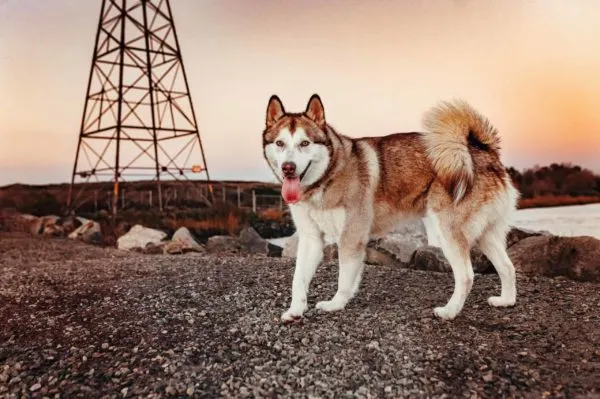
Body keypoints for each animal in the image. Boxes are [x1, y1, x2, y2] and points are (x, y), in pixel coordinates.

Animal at [262, 95, 520, 324]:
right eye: (280, 143)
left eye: (305, 143)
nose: (288, 168)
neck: (328, 176)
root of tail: (481, 150)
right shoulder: (311, 239)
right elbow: (299, 279)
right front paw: (295, 310)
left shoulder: (351, 237)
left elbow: (343, 278)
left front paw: (336, 303)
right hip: (486, 235)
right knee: (507, 267)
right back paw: (506, 301)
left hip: (448, 232)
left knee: (466, 276)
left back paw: (449, 312)